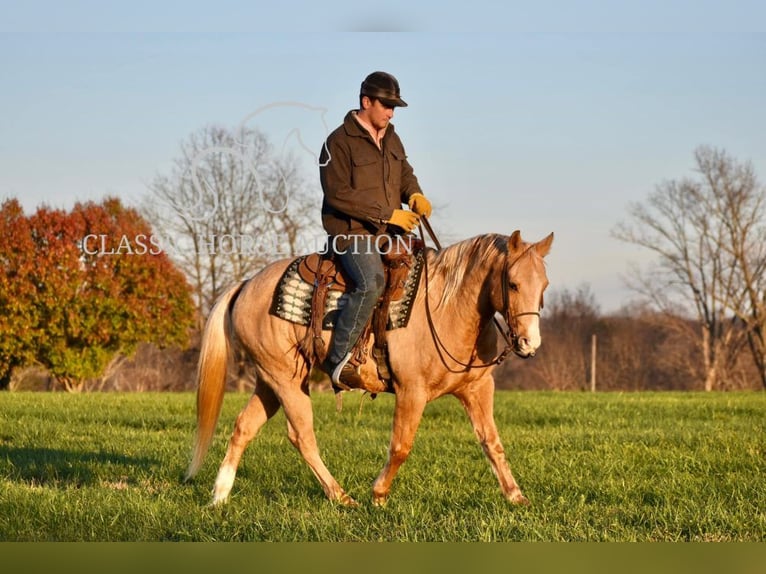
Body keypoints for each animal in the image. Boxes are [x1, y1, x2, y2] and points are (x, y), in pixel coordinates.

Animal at [188, 230, 560, 508]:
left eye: (544, 286)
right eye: (513, 284)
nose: (530, 343)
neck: (448, 308)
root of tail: (247, 283)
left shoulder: (478, 388)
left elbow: (491, 442)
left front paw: (515, 496)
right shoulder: (412, 391)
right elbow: (401, 446)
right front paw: (378, 494)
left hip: (269, 381)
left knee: (243, 427)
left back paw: (219, 496)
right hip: (286, 381)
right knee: (302, 437)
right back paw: (341, 497)